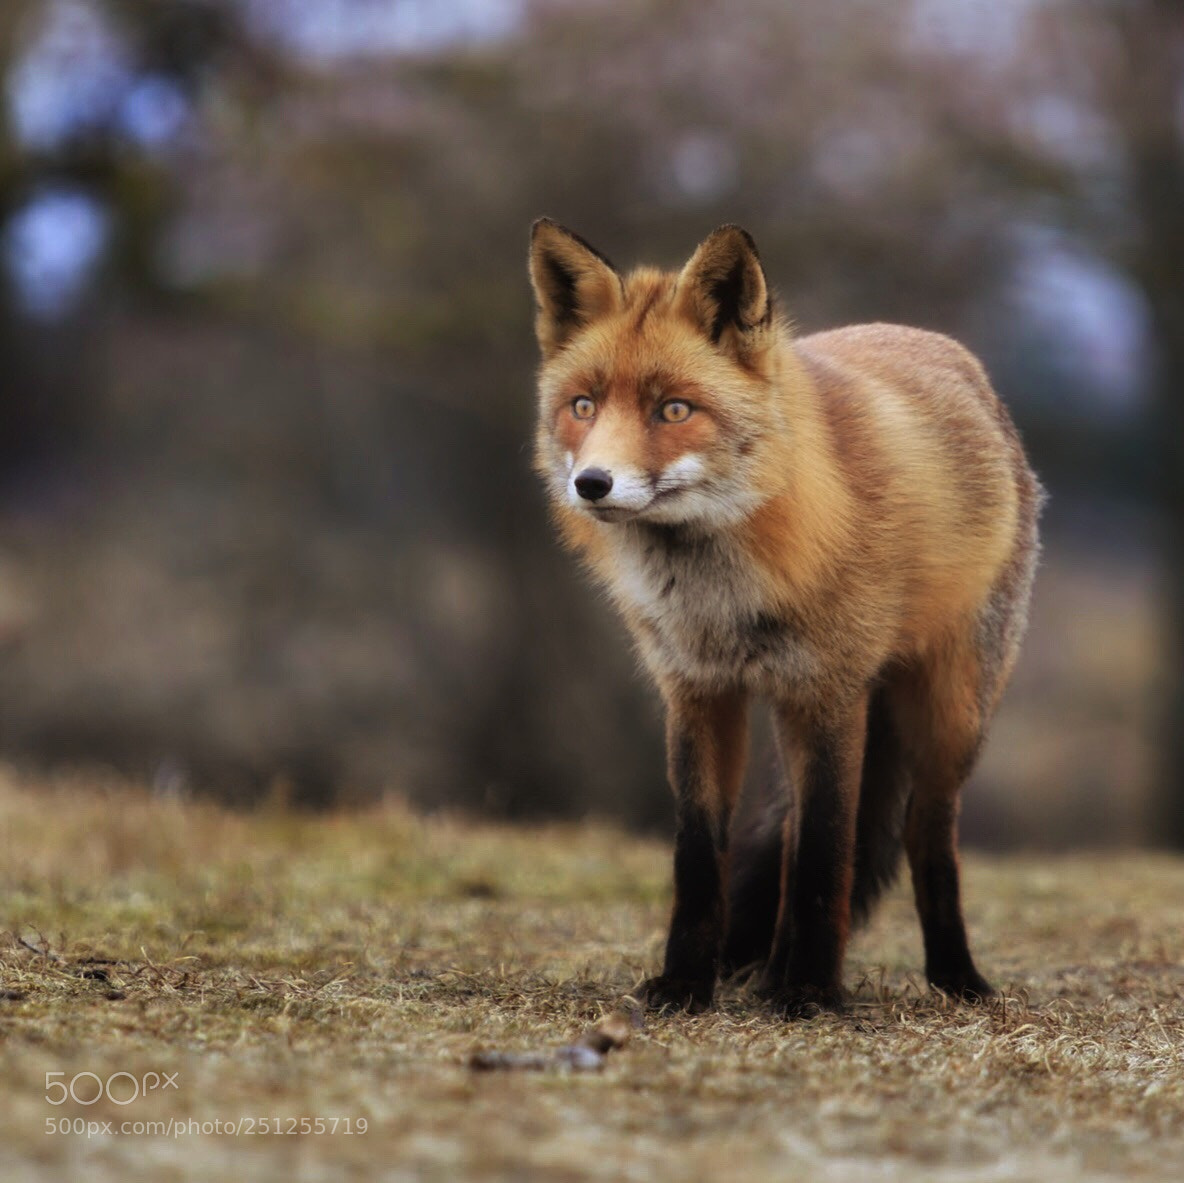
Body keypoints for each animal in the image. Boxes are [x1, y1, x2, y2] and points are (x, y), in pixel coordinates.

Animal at [528, 218, 1042, 1017]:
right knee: (796, 833)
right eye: (583, 405)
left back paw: (955, 979)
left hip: (950, 713)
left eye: (674, 409)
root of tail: (957, 359)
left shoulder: (831, 689)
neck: (723, 596)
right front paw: (686, 985)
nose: (592, 483)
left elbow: (829, 851)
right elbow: (701, 856)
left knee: (924, 838)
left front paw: (812, 992)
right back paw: (771, 971)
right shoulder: (698, 691)